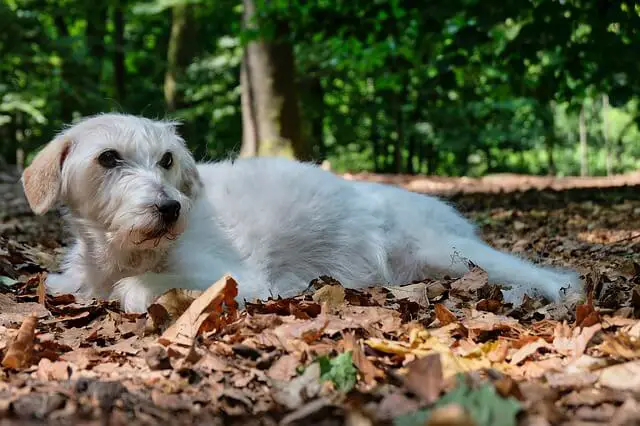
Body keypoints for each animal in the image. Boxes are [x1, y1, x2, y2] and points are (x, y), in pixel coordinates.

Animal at [20, 114, 584, 312]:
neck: (120, 253)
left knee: (548, 274)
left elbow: (138, 290)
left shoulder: (242, 279)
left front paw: (131, 289)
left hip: (445, 249)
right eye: (108, 158)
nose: (169, 208)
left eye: (167, 160)